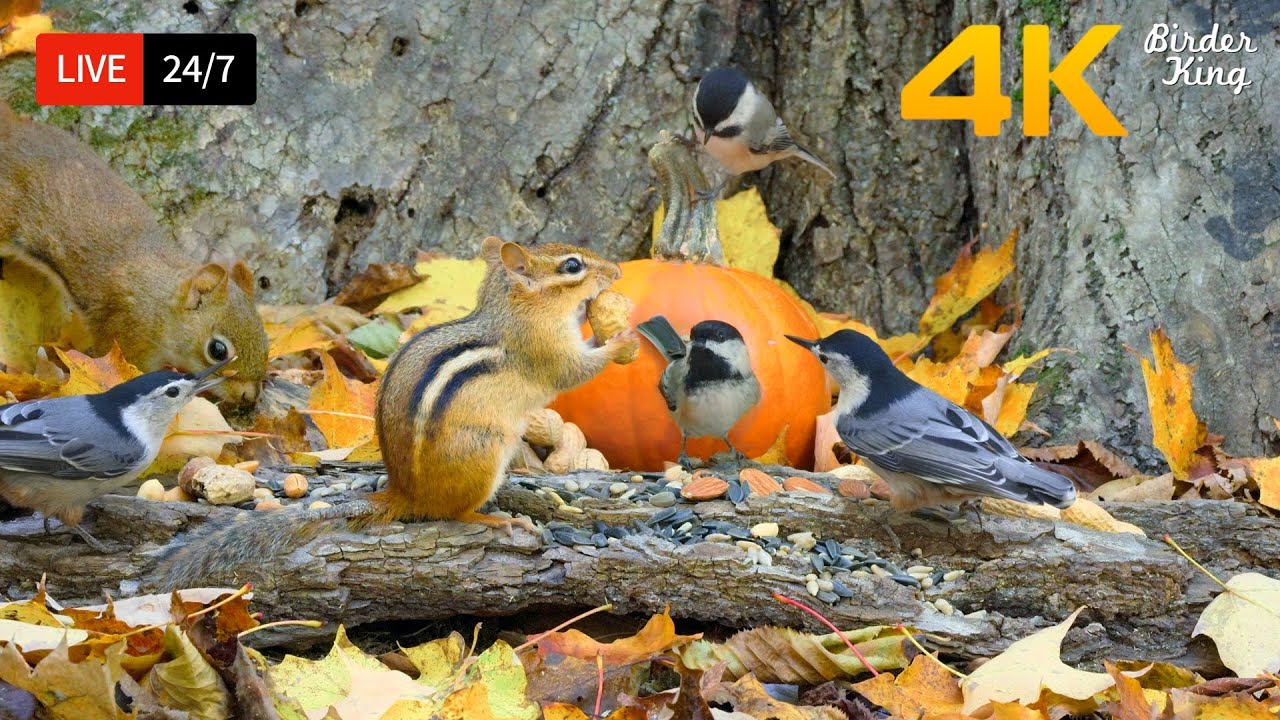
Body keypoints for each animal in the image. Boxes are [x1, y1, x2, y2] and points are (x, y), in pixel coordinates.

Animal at [0, 103, 267, 405]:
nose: (250, 397)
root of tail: (11, 127)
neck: (159, 306)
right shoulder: (127, 332)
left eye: (265, 339)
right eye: (218, 350)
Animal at [154, 236, 638, 587]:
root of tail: (405, 495)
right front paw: (620, 339)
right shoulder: (543, 350)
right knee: (455, 514)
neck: (515, 310)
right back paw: (499, 518)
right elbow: (575, 370)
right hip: (483, 452)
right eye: (572, 266)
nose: (617, 272)